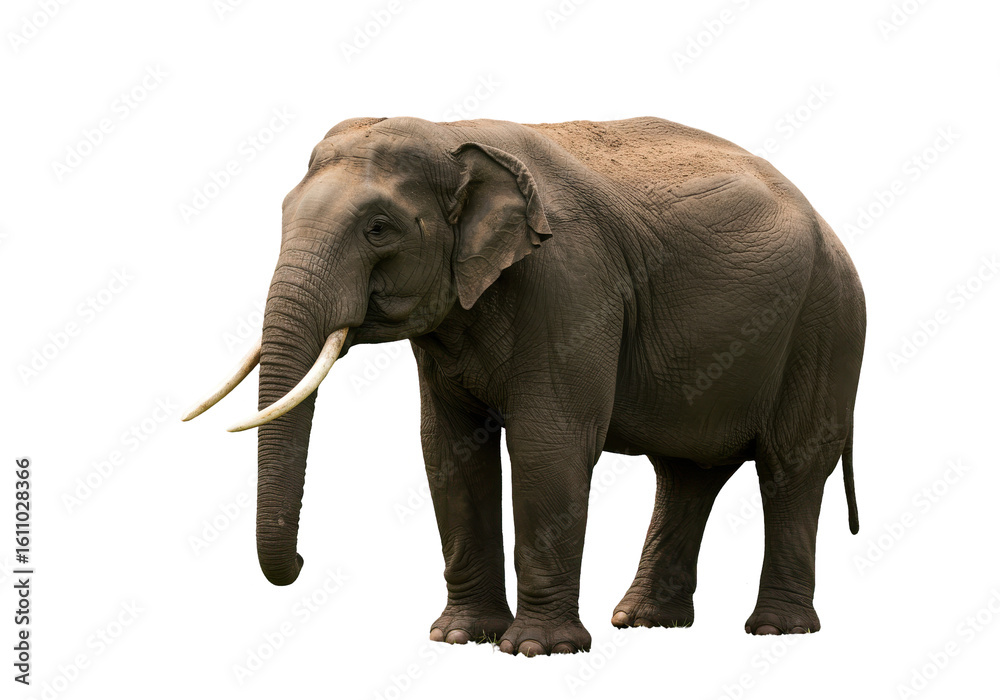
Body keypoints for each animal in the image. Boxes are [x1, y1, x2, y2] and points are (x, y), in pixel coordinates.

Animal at [183, 115, 865, 657]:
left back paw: (777, 631)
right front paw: (460, 639)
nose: (301, 563)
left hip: (826, 327)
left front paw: (536, 650)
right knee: (687, 474)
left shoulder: (571, 285)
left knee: (791, 468)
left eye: (379, 228)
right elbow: (449, 451)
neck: (453, 136)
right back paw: (643, 622)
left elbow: (549, 443)